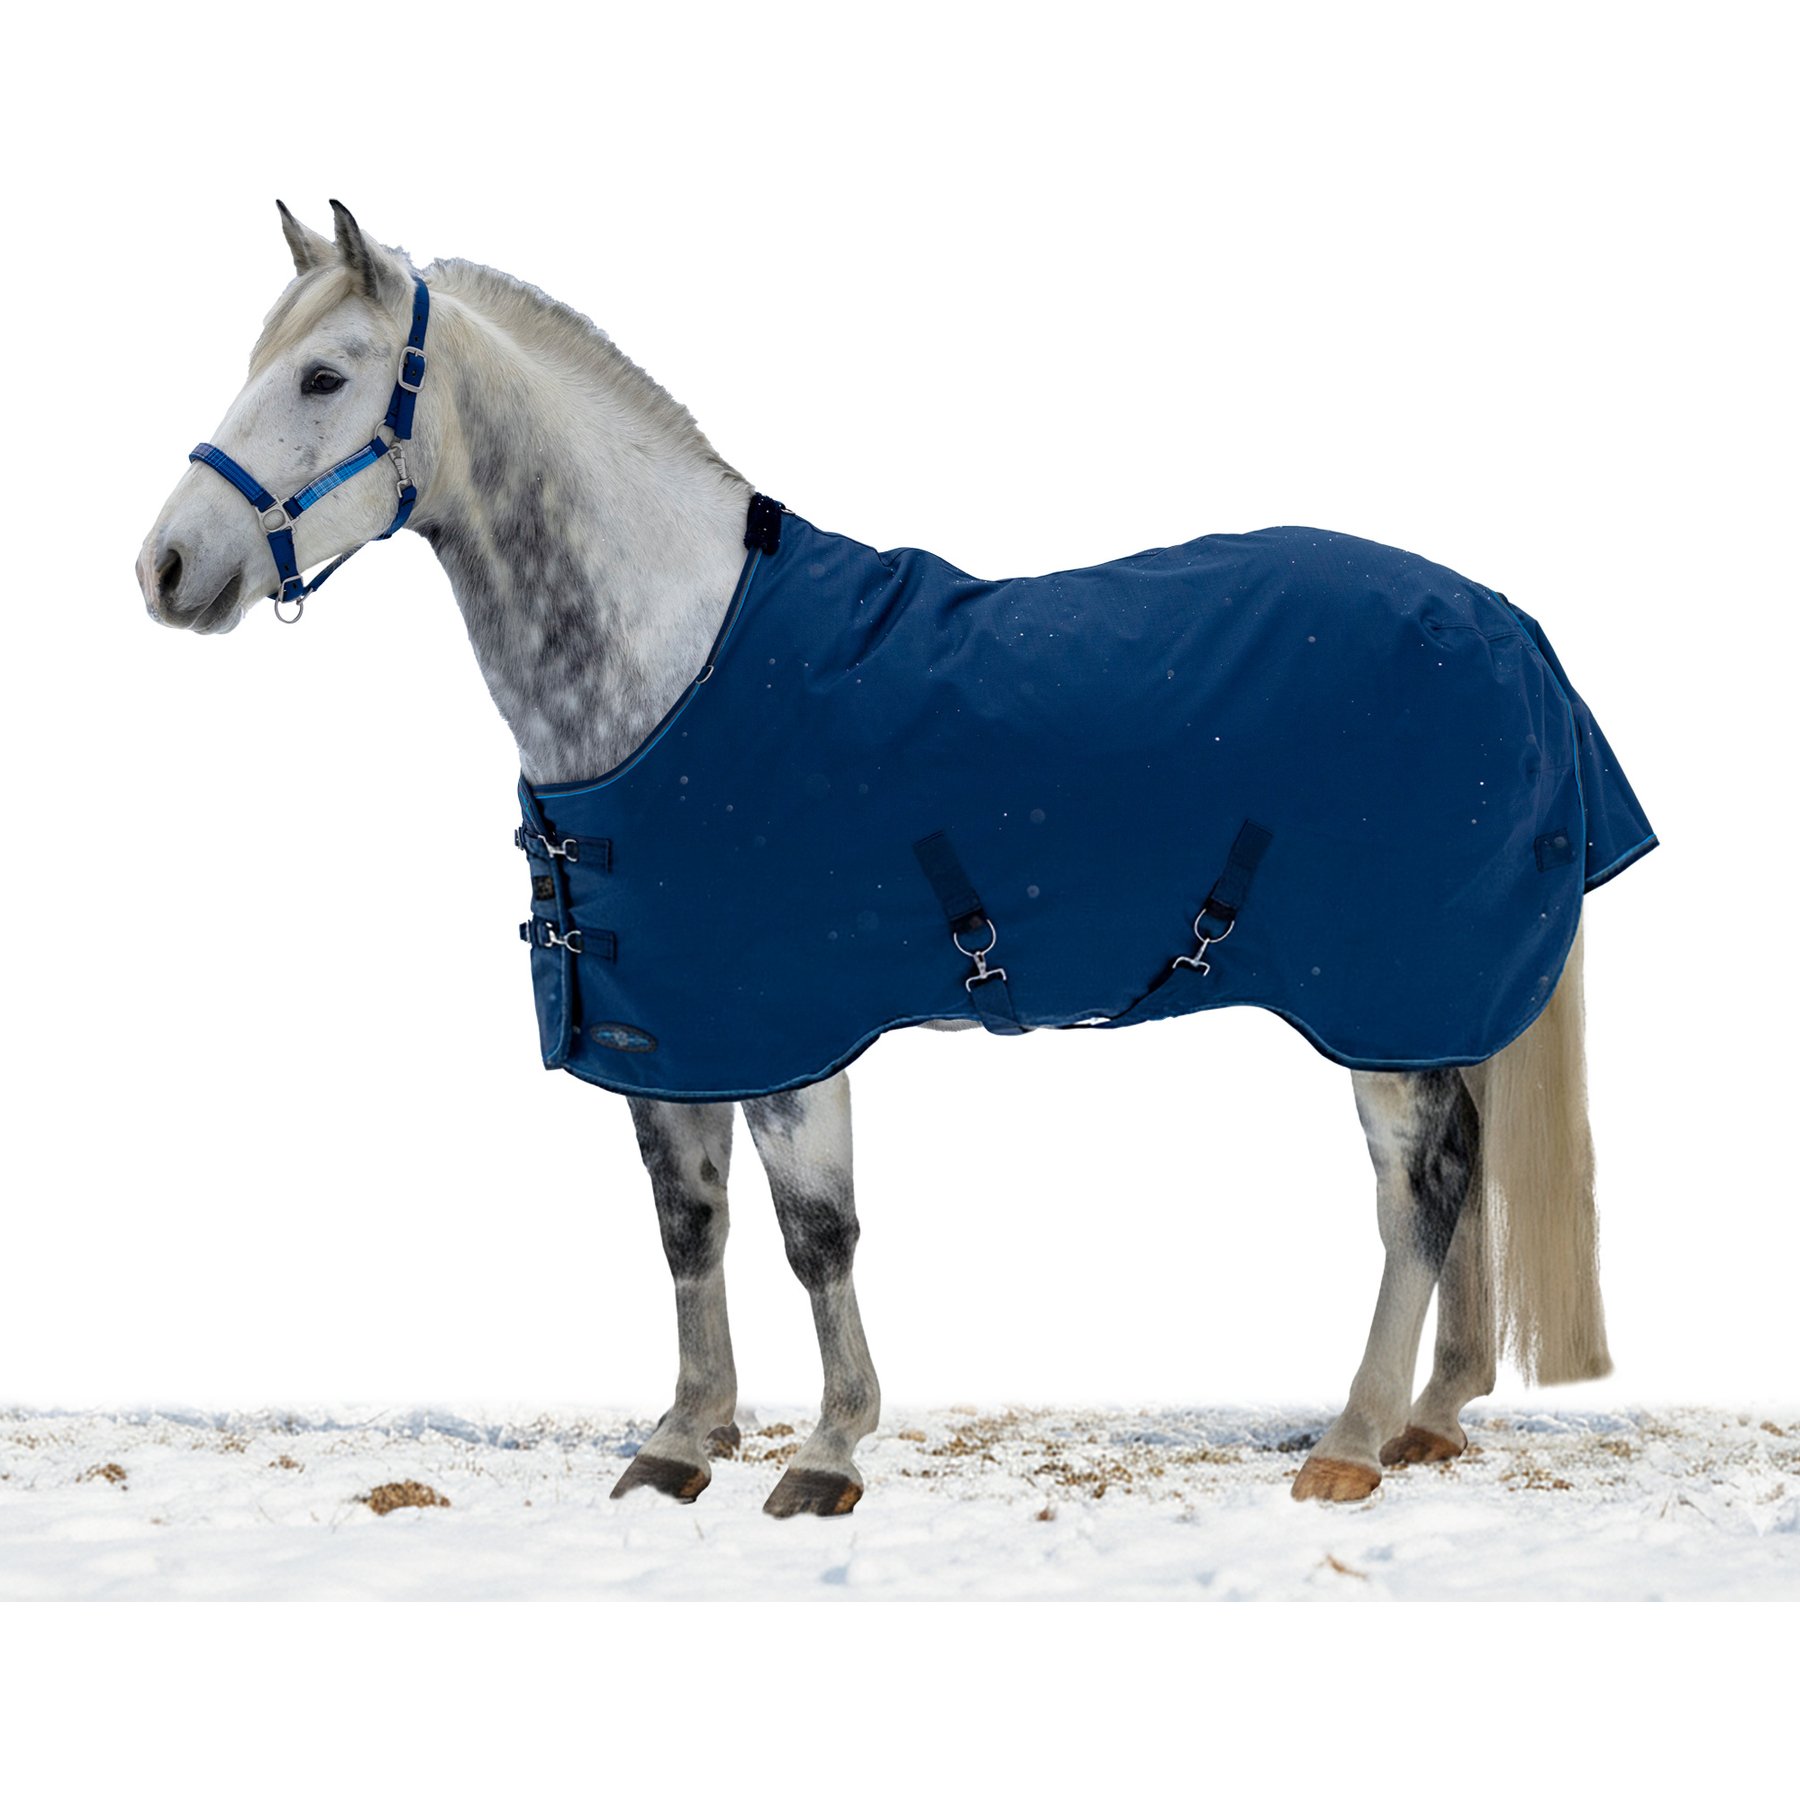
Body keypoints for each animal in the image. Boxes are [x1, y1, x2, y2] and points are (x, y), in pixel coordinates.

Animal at [136, 201, 1643, 1517]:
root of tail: (1504, 622)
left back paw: (1351, 1442)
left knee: (1418, 1193)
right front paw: (684, 1440)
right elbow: (689, 1227)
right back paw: (1430, 1418)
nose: (165, 567)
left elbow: (817, 1236)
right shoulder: (675, 1031)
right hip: (1429, 1002)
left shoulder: (790, 1029)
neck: (675, 665)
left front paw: (827, 1454)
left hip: (1379, 1001)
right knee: (1467, 1172)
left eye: (325, 374)